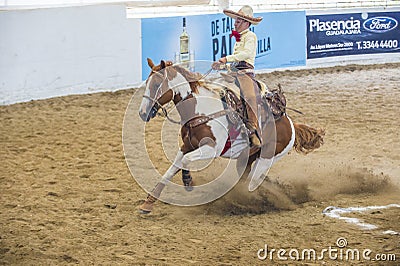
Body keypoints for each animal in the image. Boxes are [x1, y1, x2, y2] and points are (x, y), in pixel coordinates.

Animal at [138, 58, 324, 214]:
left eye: (156, 84)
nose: (142, 113)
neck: (202, 110)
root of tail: (291, 124)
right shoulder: (187, 146)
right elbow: (171, 170)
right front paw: (148, 203)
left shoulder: (211, 149)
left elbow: (186, 161)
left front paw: (188, 182)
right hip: (246, 158)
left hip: (266, 159)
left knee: (252, 183)